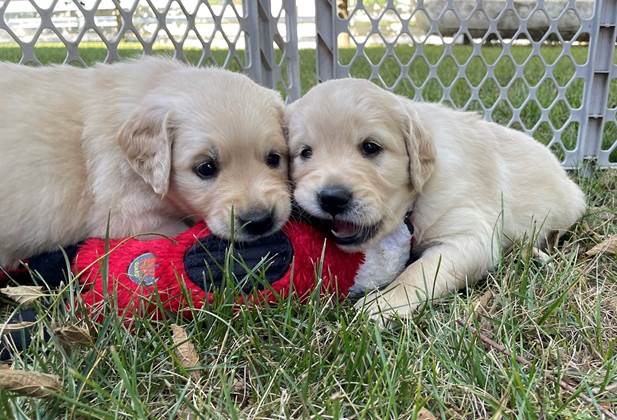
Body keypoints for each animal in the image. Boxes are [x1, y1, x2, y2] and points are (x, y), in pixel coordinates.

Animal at [286, 79, 584, 324]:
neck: (415, 200)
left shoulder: (469, 236)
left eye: (371, 147)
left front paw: (382, 304)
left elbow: (418, 271)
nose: (331, 198)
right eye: (305, 153)